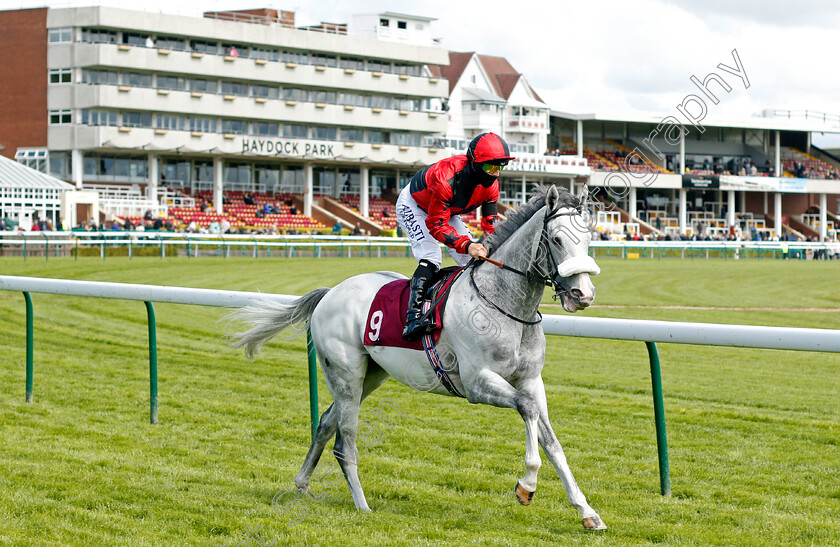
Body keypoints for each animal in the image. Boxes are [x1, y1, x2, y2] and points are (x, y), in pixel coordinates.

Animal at [230, 184, 608, 532]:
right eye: (557, 239)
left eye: (588, 239)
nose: (584, 294)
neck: (504, 304)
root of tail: (330, 293)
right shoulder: (477, 383)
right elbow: (527, 411)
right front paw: (526, 486)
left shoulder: (530, 380)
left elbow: (550, 439)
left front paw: (587, 511)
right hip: (346, 374)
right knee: (345, 438)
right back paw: (362, 504)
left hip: (370, 375)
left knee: (325, 422)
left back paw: (302, 483)